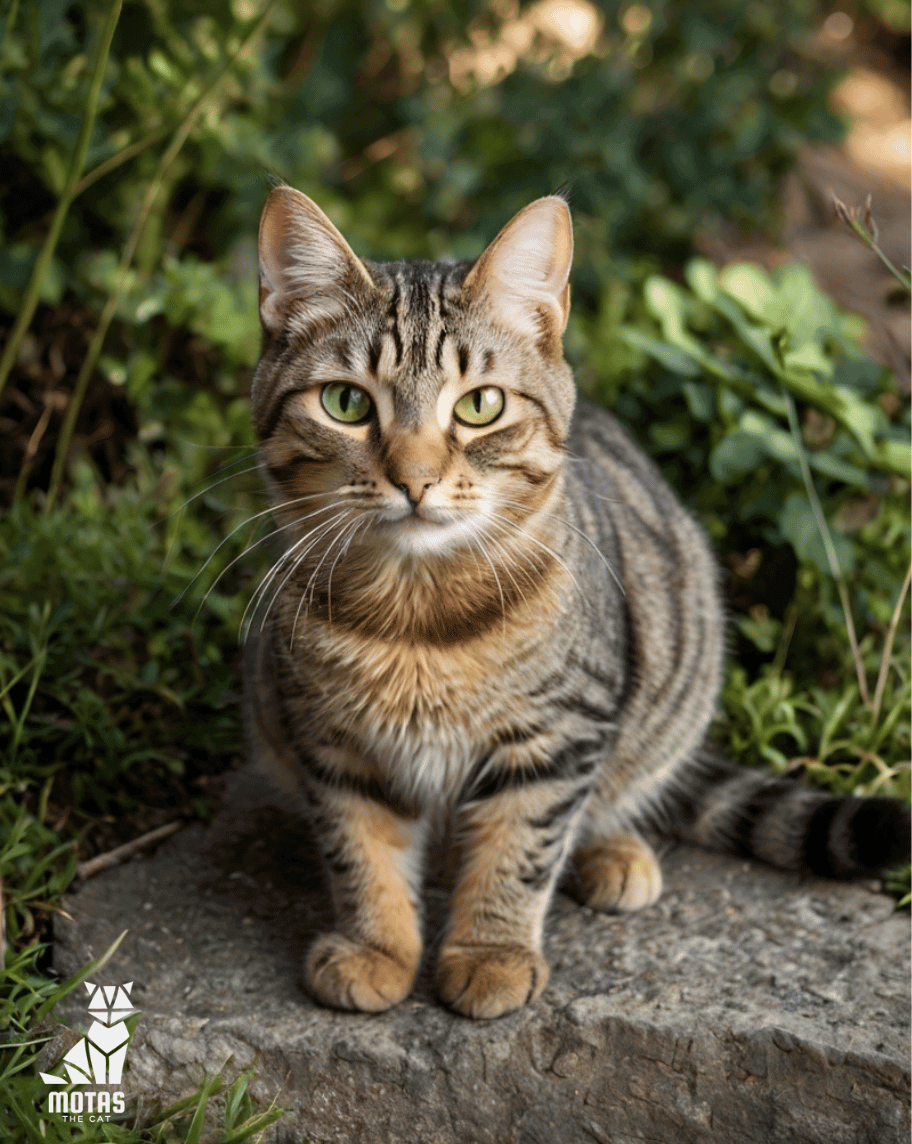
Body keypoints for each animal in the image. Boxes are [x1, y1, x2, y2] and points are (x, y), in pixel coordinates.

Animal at [243, 187, 910, 1020]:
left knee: (614, 796)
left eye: (481, 407)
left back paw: (615, 852)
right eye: (345, 403)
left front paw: (490, 953)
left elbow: (520, 848)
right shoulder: (332, 743)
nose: (415, 479)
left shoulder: (559, 735)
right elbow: (360, 851)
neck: (418, 614)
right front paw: (377, 949)